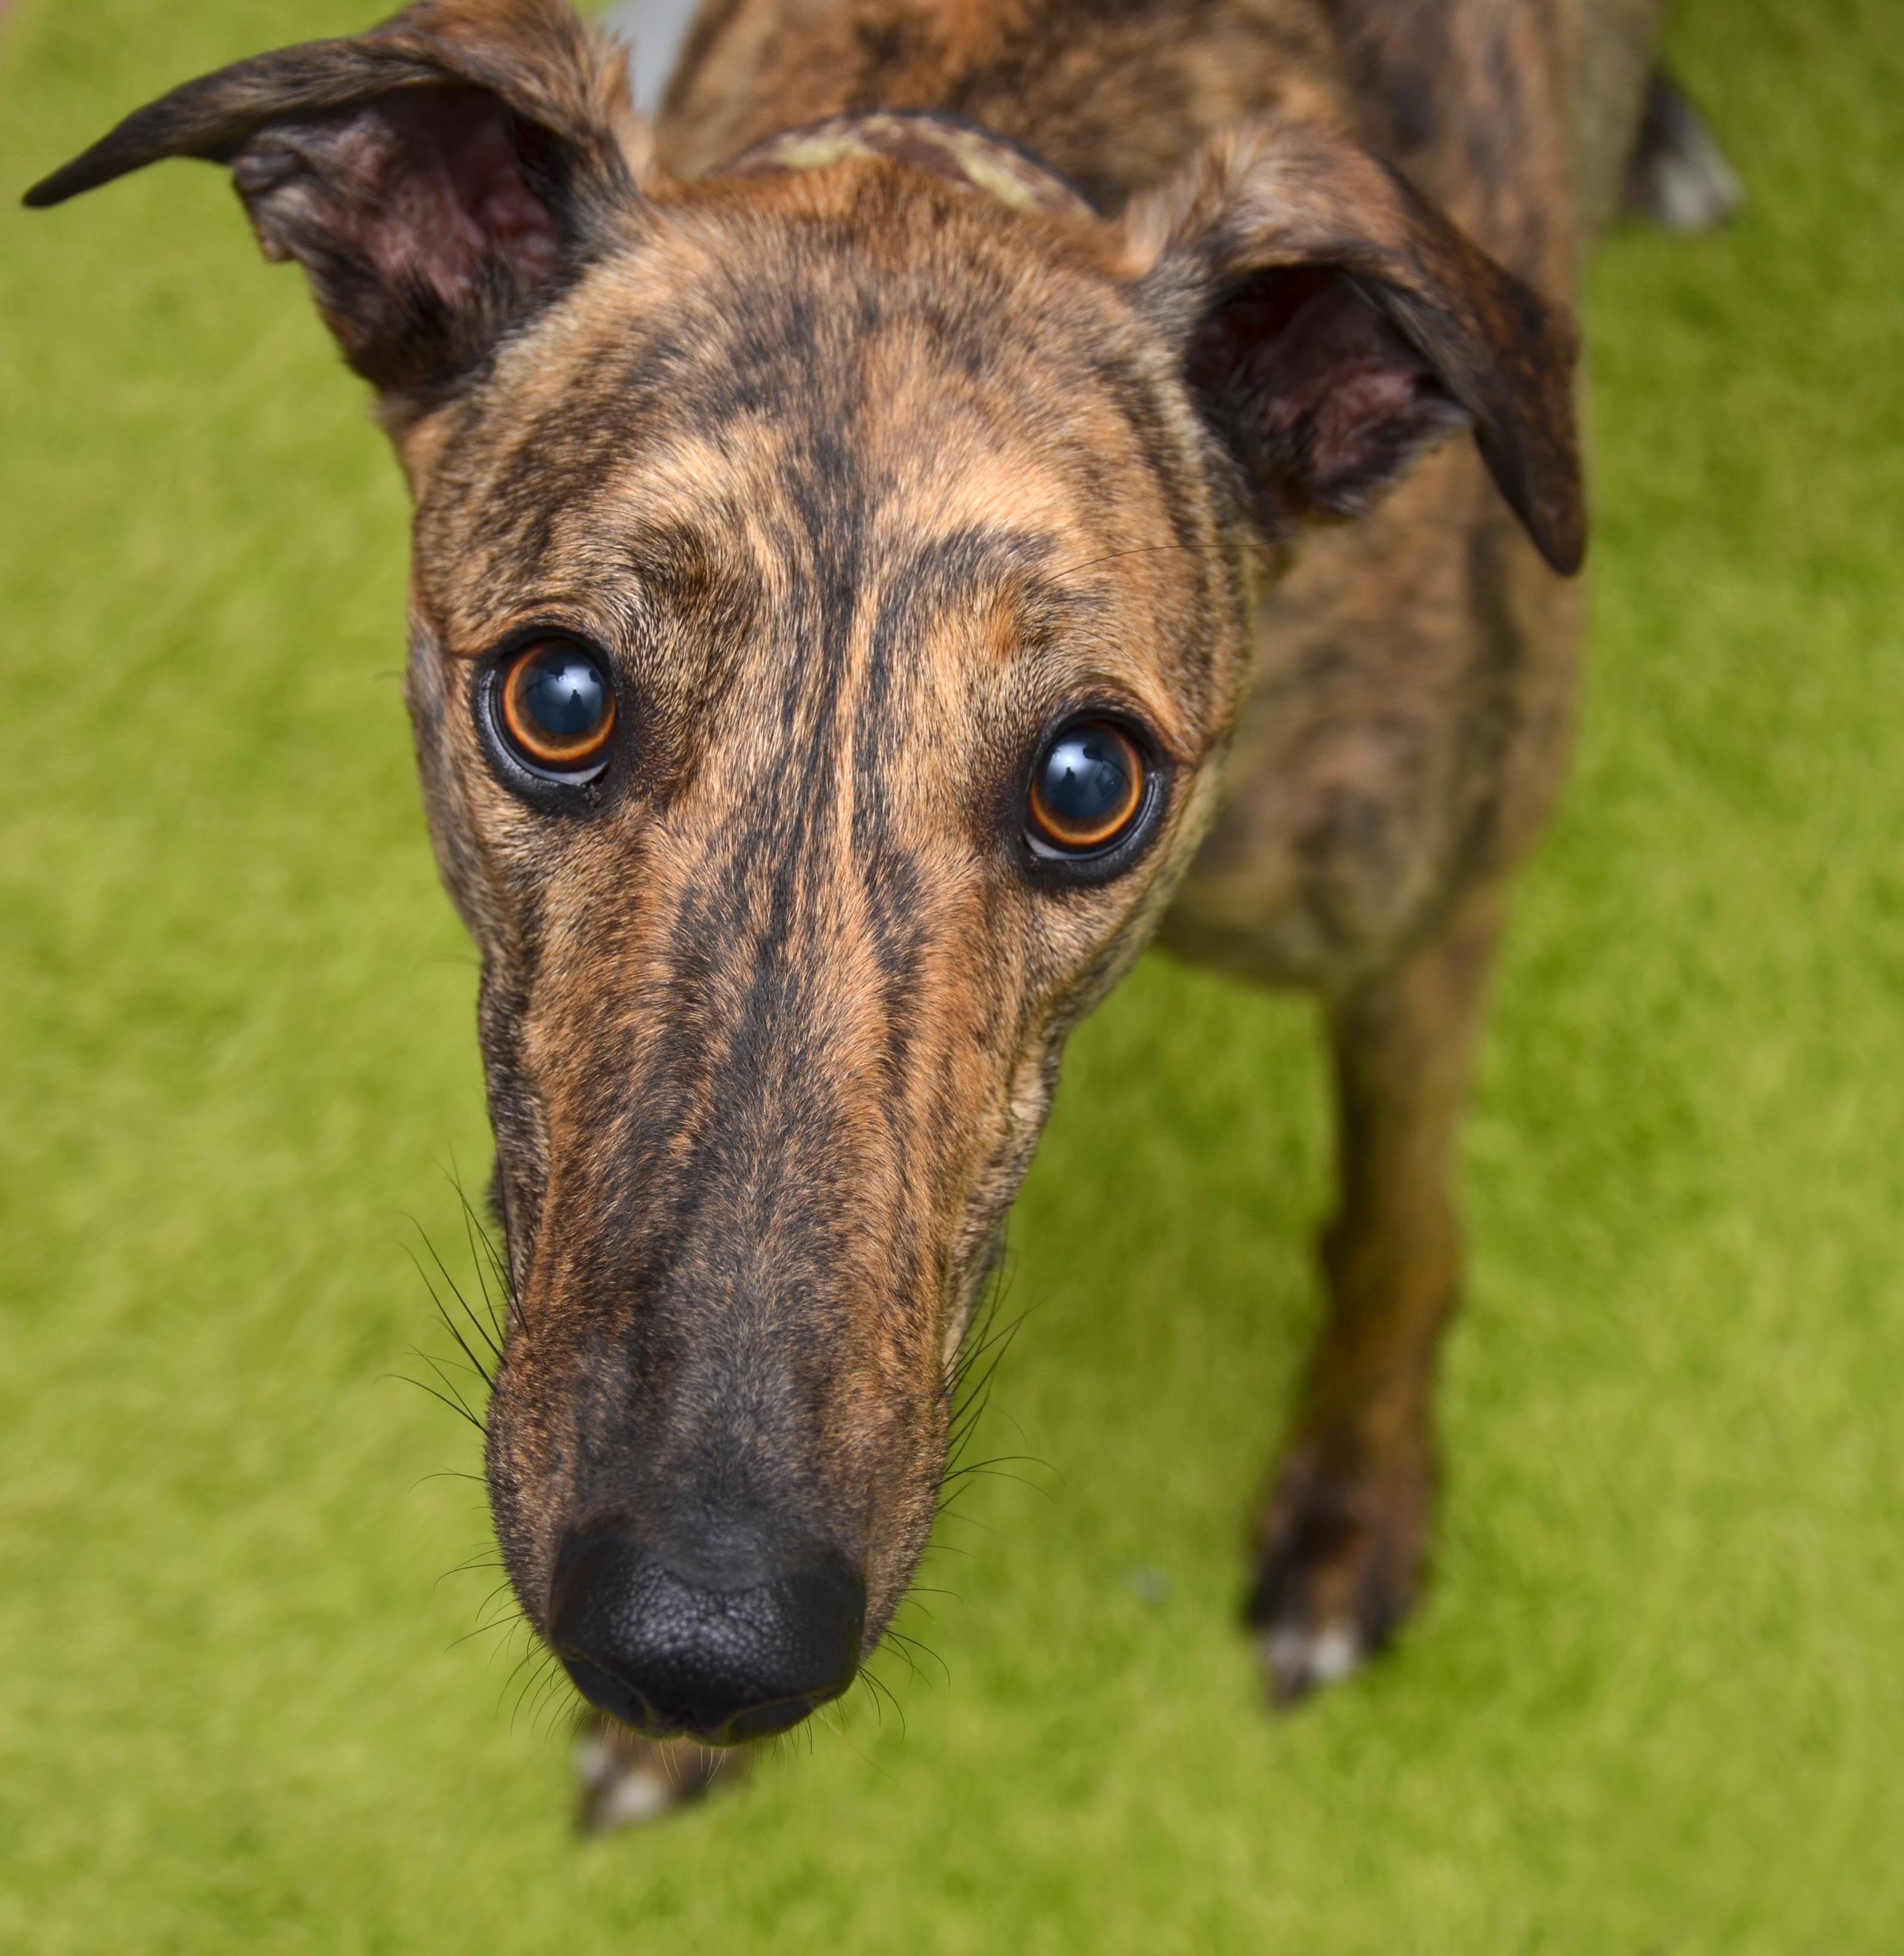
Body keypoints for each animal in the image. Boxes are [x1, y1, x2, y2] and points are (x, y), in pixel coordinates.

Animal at [28, 0, 1709, 1827]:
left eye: (1087, 780)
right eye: (557, 696)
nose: (700, 1647)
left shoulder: (1430, 918)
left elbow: (1401, 1224)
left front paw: (1355, 1495)